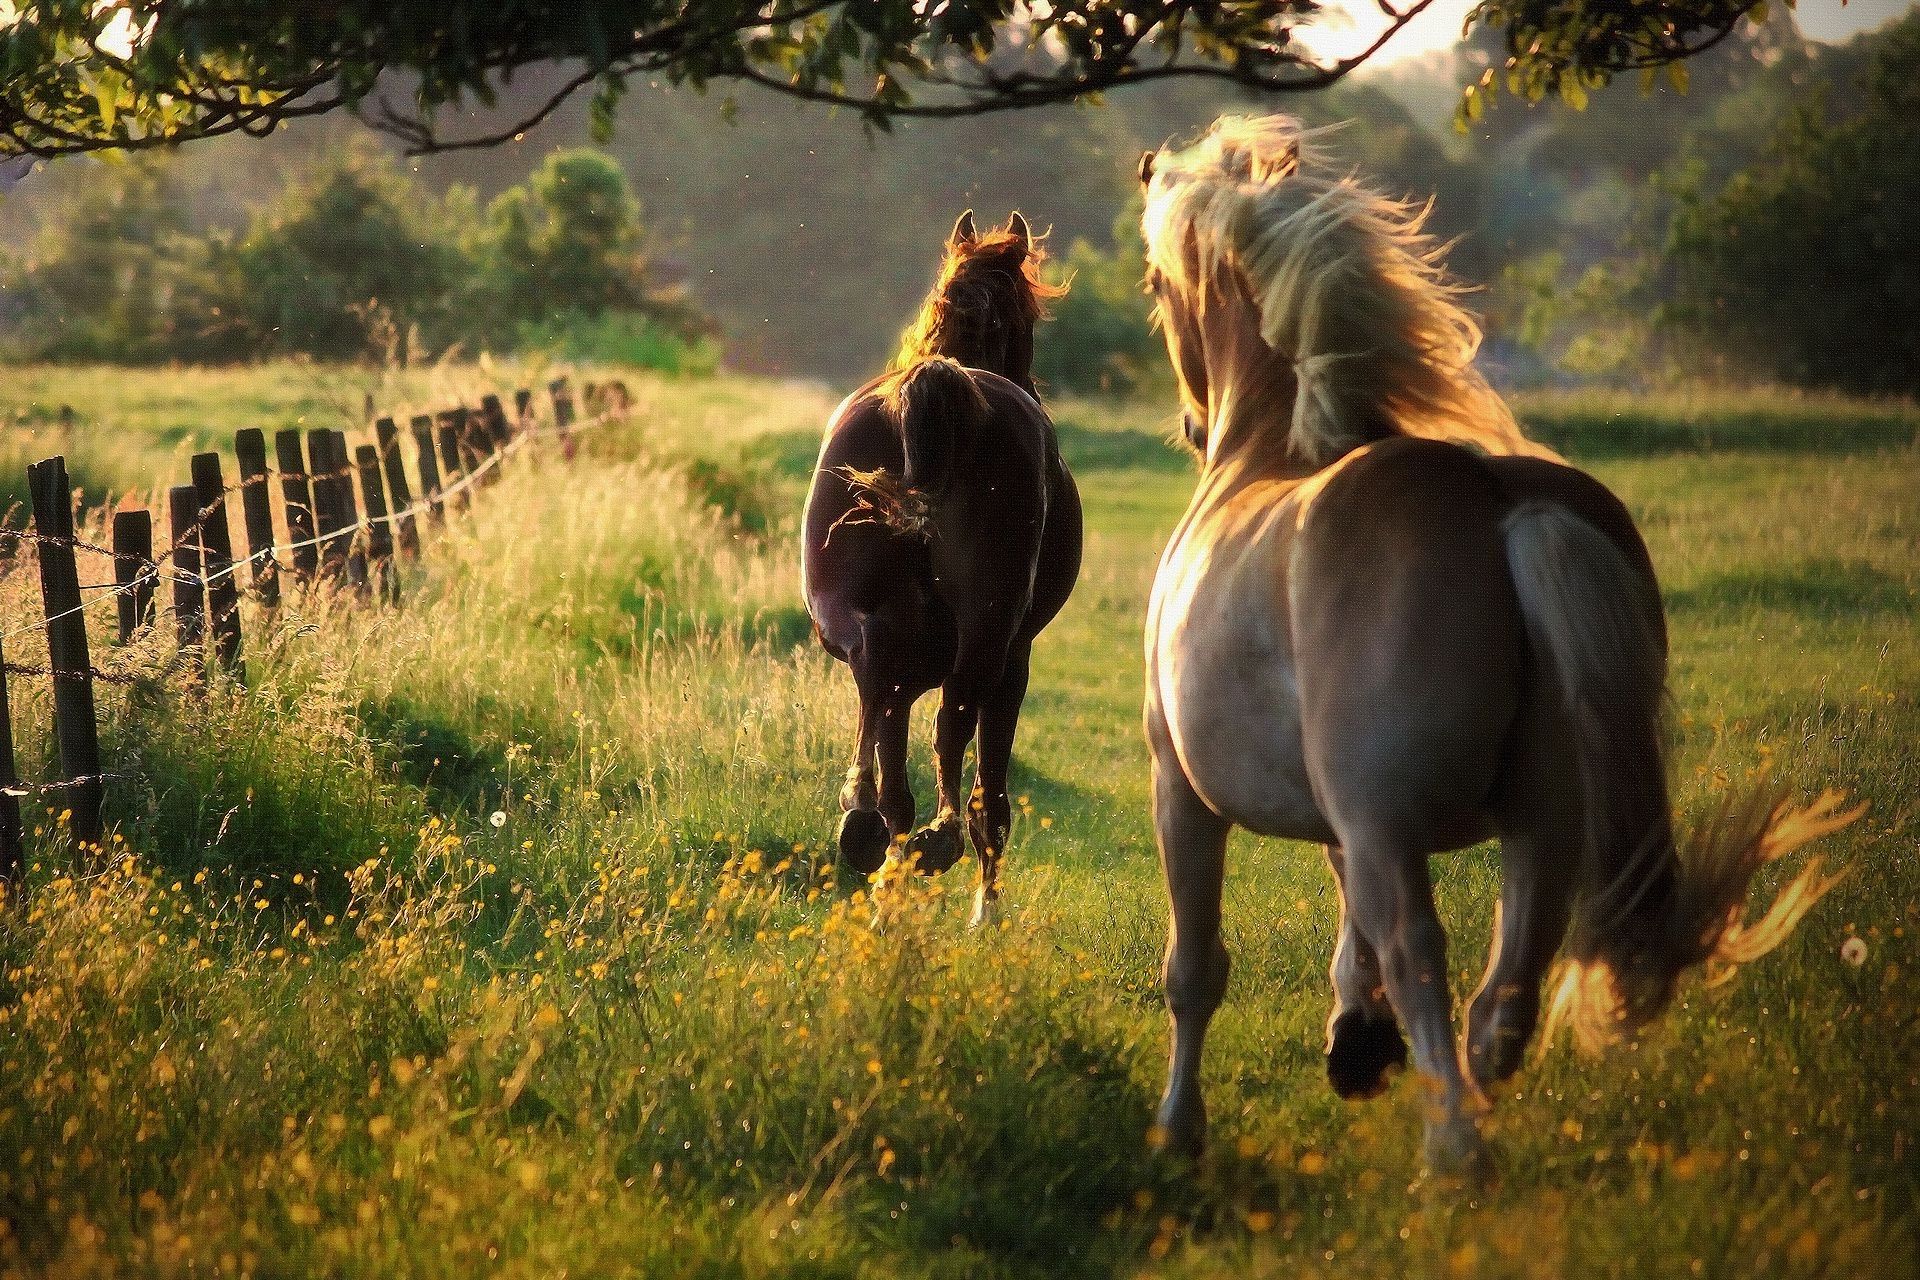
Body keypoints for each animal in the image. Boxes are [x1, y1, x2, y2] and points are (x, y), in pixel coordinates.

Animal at [802, 211, 1083, 927]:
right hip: (988, 641)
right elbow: (991, 787)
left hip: (869, 631)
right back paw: (941, 853)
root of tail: (938, 387)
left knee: (886, 728)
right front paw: (987, 911)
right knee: (954, 734)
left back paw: (878, 851)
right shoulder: (1015, 659)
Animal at [1134, 116, 1859, 1176]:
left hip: (1400, 827)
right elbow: (1342, 924)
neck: (1266, 453)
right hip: (1544, 826)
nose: (1191, 423)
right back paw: (1466, 1115)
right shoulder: (1341, 812)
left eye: (1155, 284)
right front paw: (1355, 1042)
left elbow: (1196, 969)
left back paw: (1454, 1151)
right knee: (1502, 999)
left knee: (1422, 956)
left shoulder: (1185, 790)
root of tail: (1505, 507)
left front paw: (1180, 1127)